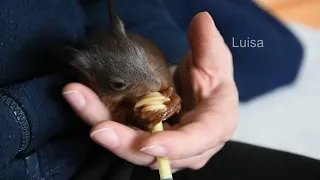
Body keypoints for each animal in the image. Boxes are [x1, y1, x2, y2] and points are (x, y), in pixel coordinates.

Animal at [64, 0, 181, 130]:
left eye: (141, 51)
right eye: (118, 85)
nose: (156, 85)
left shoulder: (155, 68)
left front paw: (171, 97)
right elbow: (126, 115)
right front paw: (146, 117)